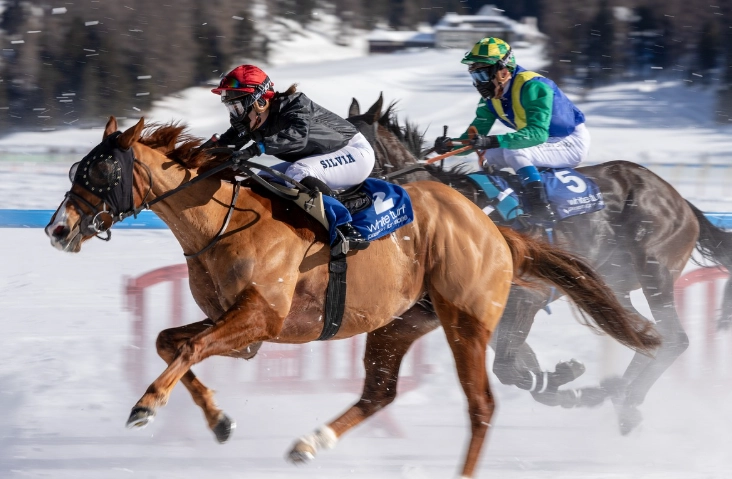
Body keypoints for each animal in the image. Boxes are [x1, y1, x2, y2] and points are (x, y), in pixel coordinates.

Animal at [44, 116, 660, 478]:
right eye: (79, 168)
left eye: (101, 170)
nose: (56, 228)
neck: (221, 220)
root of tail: (493, 230)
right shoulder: (236, 326)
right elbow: (168, 342)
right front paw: (219, 421)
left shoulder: (261, 318)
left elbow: (188, 348)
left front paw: (147, 405)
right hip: (401, 321)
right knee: (381, 392)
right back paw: (310, 443)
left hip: (466, 319)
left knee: (482, 405)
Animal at [347, 94, 732, 435]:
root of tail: (680, 200)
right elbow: (520, 372)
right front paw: (576, 388)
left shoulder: (525, 301)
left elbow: (508, 369)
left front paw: (571, 379)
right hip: (614, 285)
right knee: (646, 336)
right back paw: (622, 400)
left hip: (655, 268)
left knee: (674, 339)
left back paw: (627, 399)